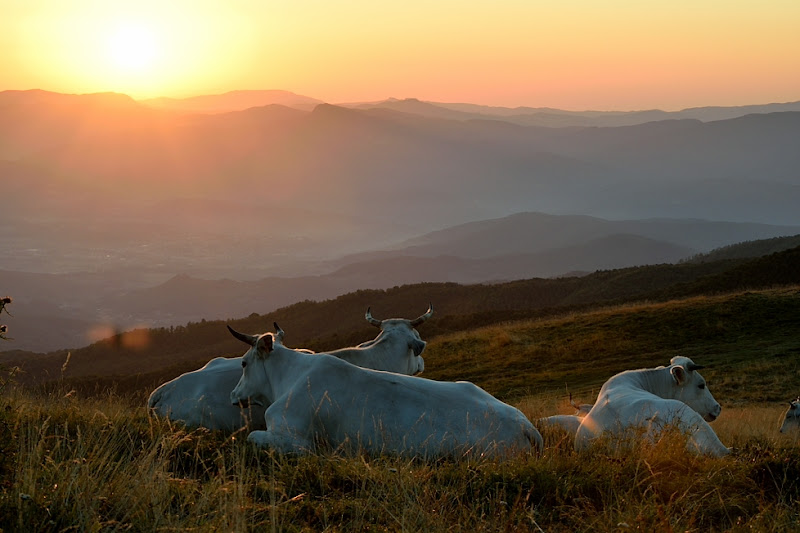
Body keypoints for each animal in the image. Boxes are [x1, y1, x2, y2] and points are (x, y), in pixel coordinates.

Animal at [228, 322, 548, 460]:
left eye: (243, 363)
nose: (233, 396)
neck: (290, 376)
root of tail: (527, 427)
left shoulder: (296, 439)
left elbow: (253, 437)